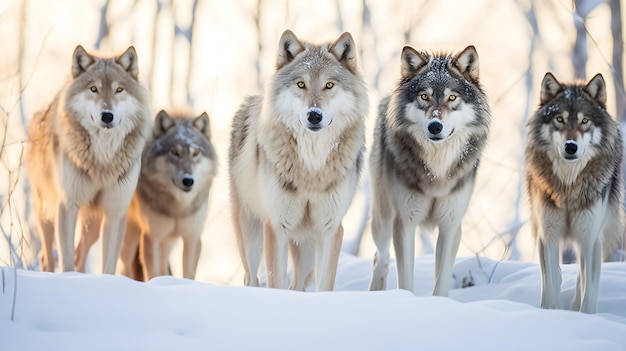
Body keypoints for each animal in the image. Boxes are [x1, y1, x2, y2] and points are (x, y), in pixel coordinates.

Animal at [26, 44, 154, 276]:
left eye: (119, 90)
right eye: (93, 89)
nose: (107, 115)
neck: (102, 158)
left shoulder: (114, 212)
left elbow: (108, 265)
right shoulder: (68, 205)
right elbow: (66, 259)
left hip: (92, 223)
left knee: (80, 255)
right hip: (46, 214)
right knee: (47, 257)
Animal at [228, 29, 366, 292]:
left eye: (329, 85)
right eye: (301, 84)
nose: (314, 115)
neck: (311, 167)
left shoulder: (331, 228)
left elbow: (325, 285)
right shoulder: (276, 226)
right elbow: (275, 283)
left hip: (307, 251)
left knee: (297, 286)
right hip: (251, 237)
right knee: (252, 279)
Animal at [368, 44, 490, 296]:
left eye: (452, 97)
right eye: (424, 96)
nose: (435, 126)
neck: (437, 170)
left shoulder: (451, 225)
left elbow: (441, 281)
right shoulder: (404, 222)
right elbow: (405, 279)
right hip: (383, 219)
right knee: (380, 257)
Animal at [524, 72, 620, 314]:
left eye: (585, 121)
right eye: (560, 119)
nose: (570, 146)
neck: (568, 189)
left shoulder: (589, 238)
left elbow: (589, 289)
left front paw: (585, 316)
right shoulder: (549, 235)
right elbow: (550, 282)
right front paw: (550, 312)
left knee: (581, 278)